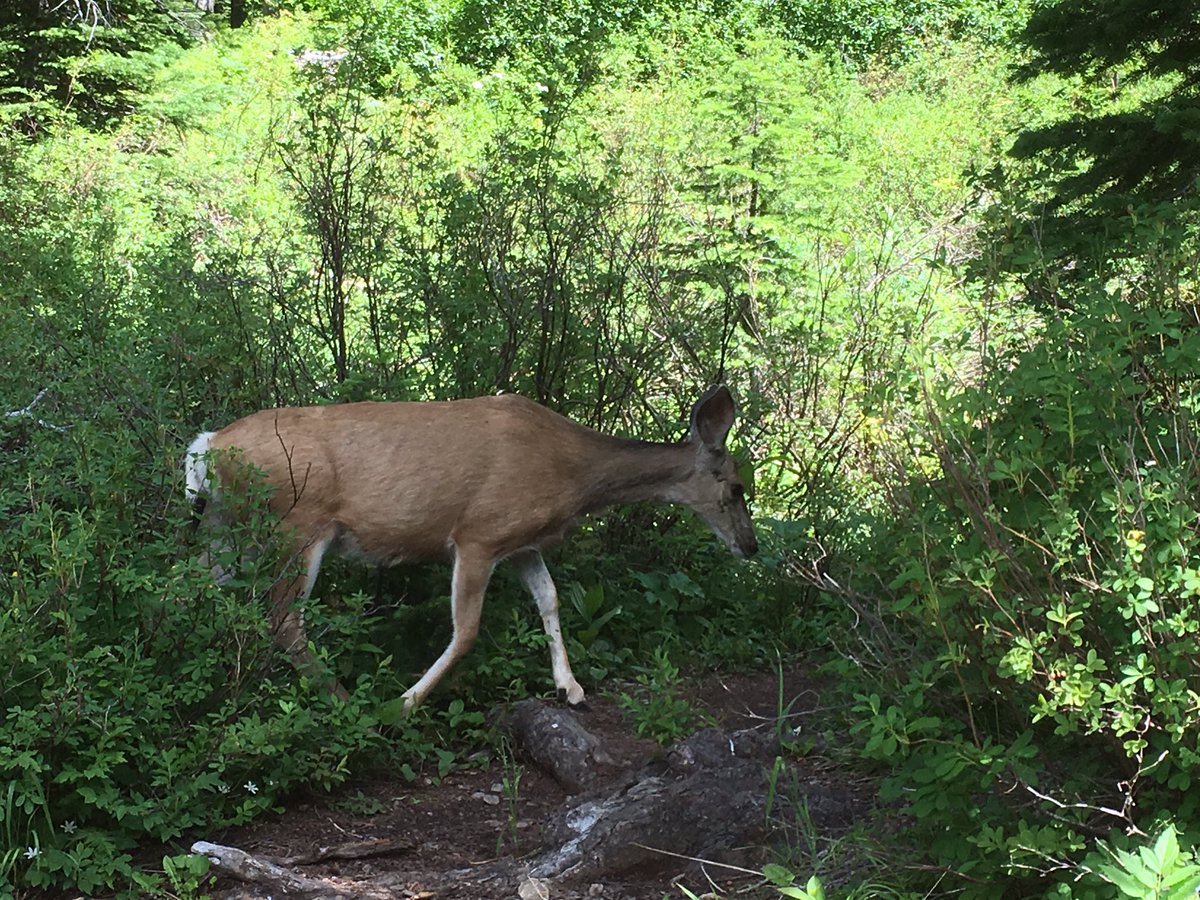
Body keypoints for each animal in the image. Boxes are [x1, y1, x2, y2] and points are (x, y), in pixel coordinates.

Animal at [184, 385, 757, 712]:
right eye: (735, 488)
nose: (749, 546)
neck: (573, 475)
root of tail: (208, 447)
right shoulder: (479, 532)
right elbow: (467, 632)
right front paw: (404, 703)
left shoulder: (521, 541)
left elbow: (550, 599)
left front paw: (569, 688)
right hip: (296, 522)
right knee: (283, 620)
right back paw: (345, 700)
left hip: (224, 526)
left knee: (192, 588)